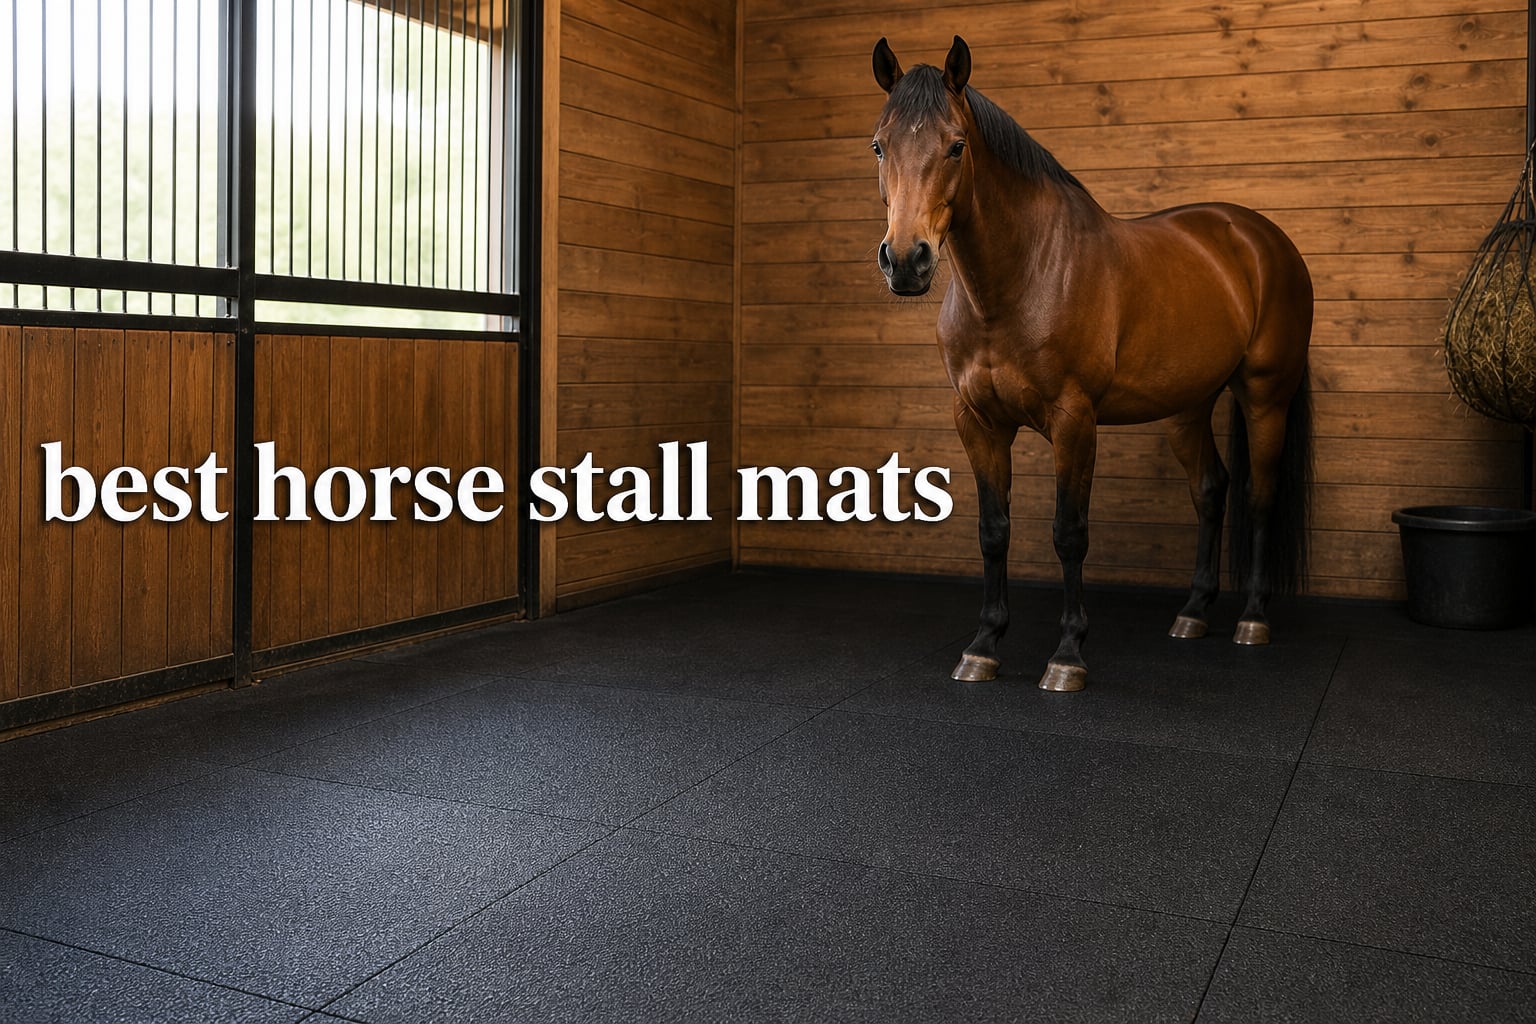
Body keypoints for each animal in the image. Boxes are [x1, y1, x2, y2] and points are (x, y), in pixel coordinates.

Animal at [870, 36, 1313, 692]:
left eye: (956, 146)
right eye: (879, 145)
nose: (906, 261)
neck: (1019, 280)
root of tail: (1261, 239)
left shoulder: (1074, 421)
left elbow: (1069, 533)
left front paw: (1068, 655)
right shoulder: (977, 423)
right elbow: (993, 531)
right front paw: (983, 646)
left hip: (1265, 397)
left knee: (1259, 495)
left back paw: (1252, 619)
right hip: (1187, 407)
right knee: (1211, 490)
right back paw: (1193, 613)